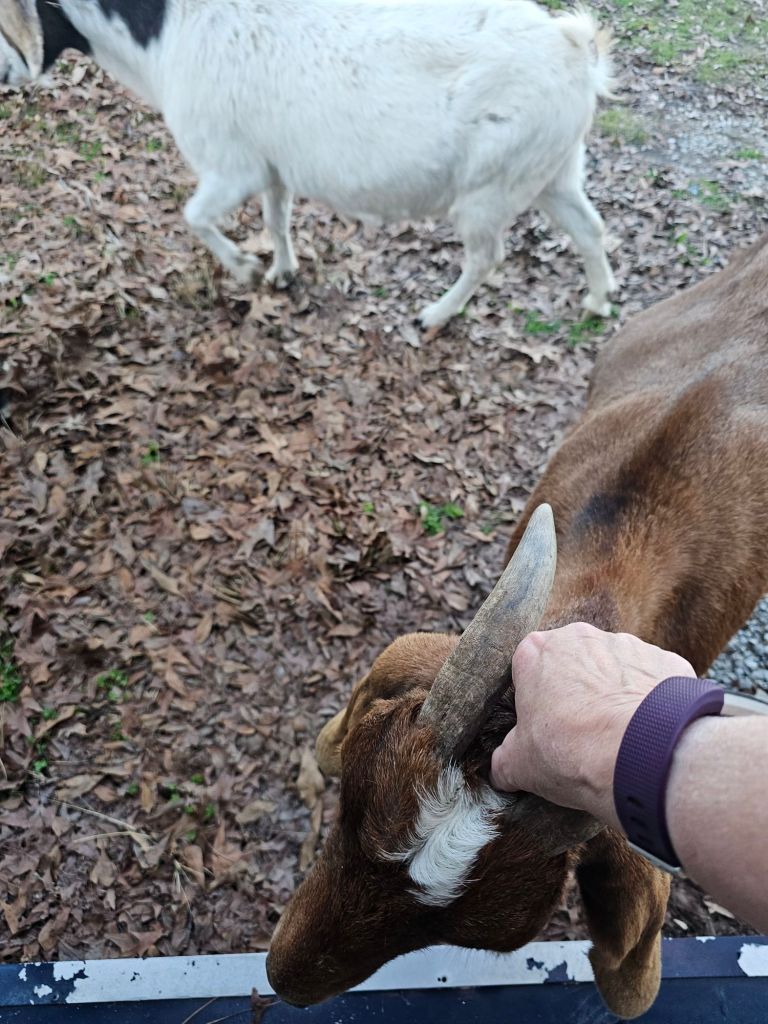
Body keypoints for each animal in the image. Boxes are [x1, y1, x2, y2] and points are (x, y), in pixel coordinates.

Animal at [0, 0, 616, 327]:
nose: (7, 75)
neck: (165, 35)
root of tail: (575, 48)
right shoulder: (275, 169)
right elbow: (276, 219)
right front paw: (281, 271)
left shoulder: (233, 167)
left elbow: (193, 216)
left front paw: (246, 269)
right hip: (552, 168)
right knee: (590, 227)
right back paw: (598, 300)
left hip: (491, 188)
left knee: (488, 256)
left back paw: (435, 315)